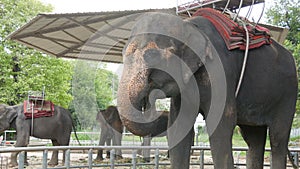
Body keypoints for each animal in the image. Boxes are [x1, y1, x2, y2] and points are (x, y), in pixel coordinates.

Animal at [117, 12, 298, 169]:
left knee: (277, 138)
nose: (147, 100)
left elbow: (221, 125)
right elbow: (178, 127)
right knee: (253, 139)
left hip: (288, 93)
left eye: (151, 55)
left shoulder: (220, 72)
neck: (190, 26)